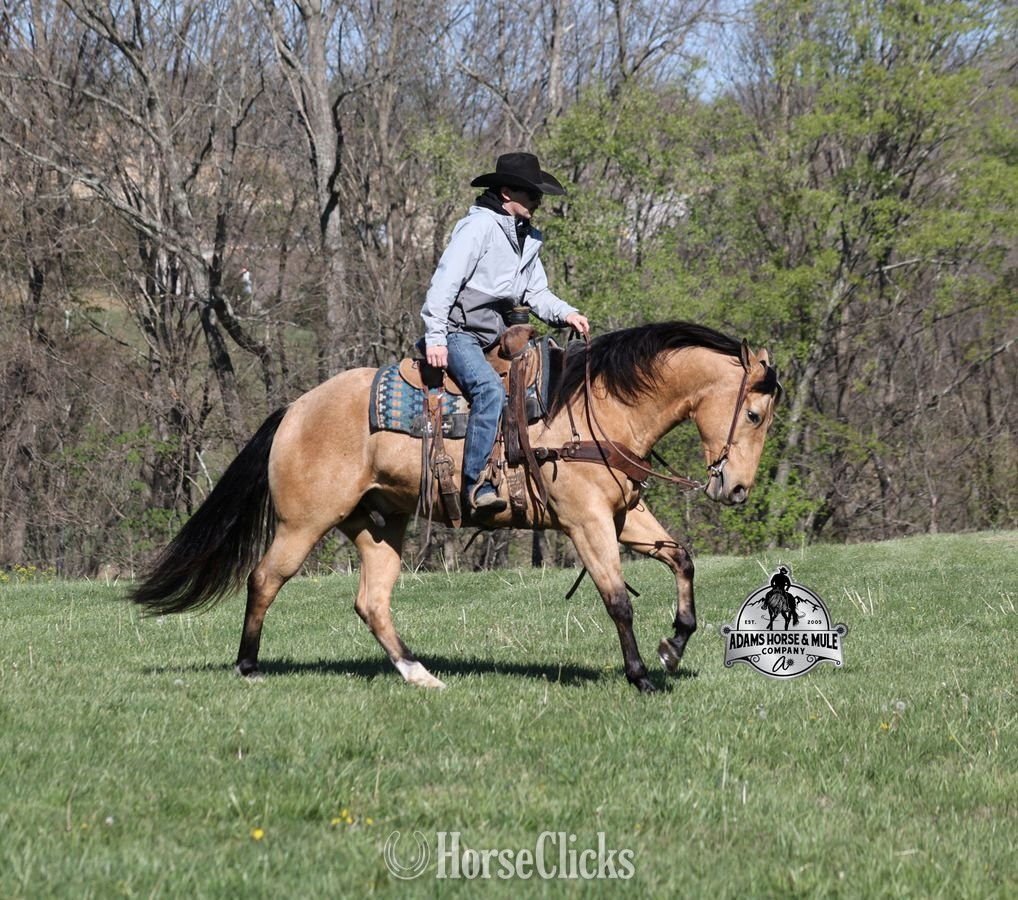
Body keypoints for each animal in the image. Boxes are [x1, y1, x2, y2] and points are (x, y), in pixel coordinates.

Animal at [131, 321, 782, 693]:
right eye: (753, 414)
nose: (736, 490)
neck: (596, 407)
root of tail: (294, 409)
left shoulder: (625, 517)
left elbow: (683, 559)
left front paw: (674, 646)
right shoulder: (587, 521)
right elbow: (617, 598)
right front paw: (642, 676)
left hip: (379, 526)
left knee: (372, 602)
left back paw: (419, 674)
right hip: (302, 522)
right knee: (265, 578)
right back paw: (248, 667)